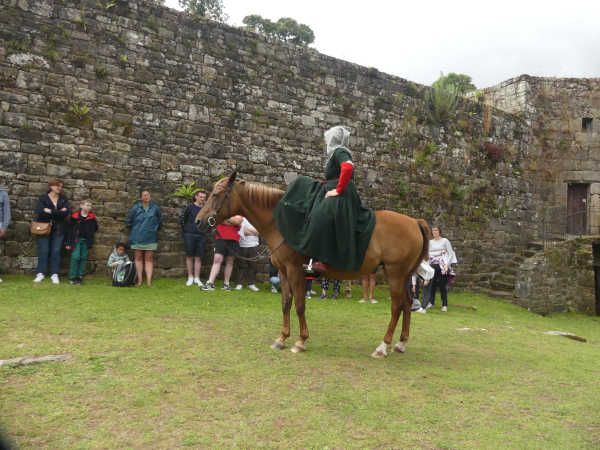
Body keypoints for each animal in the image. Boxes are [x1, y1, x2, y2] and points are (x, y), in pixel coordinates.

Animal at [196, 172, 430, 358]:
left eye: (216, 194)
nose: (199, 221)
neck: (282, 222)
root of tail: (414, 222)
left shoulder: (295, 271)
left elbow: (300, 305)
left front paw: (300, 341)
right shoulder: (283, 272)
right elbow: (286, 303)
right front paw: (282, 338)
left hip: (395, 274)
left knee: (396, 307)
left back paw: (383, 346)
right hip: (404, 276)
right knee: (407, 303)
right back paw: (400, 343)